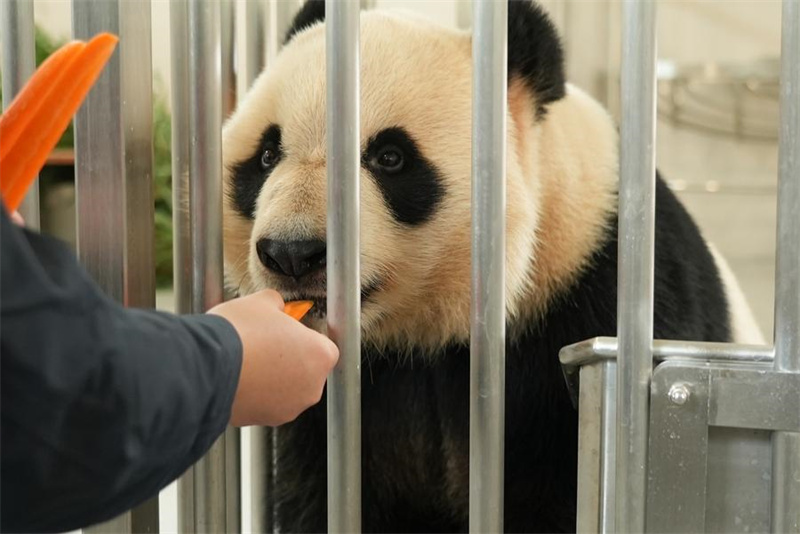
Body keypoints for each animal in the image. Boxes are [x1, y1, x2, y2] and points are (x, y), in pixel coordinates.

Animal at [220, 0, 765, 531]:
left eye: (390, 157)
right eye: (266, 155)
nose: (292, 253)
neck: (421, 332)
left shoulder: (589, 291)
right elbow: (313, 492)